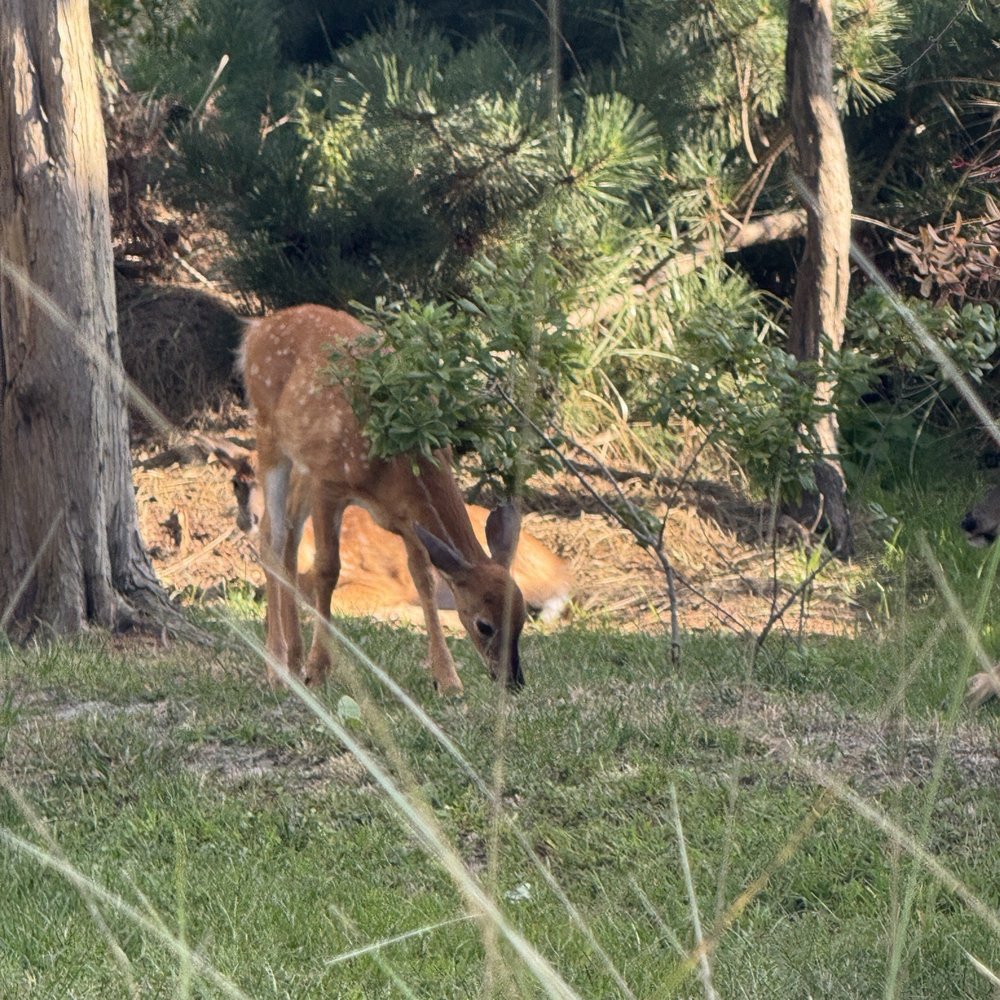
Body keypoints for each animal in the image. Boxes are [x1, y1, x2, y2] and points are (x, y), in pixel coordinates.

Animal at [240, 304, 527, 695]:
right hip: (269, 435)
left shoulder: (407, 517)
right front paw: (319, 670)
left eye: (523, 617)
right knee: (272, 537)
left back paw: (293, 659)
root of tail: (257, 328)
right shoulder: (330, 483)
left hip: (302, 462)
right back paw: (278, 667)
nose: (513, 680)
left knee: (288, 537)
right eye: (484, 625)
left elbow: (424, 578)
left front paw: (447, 679)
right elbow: (327, 570)